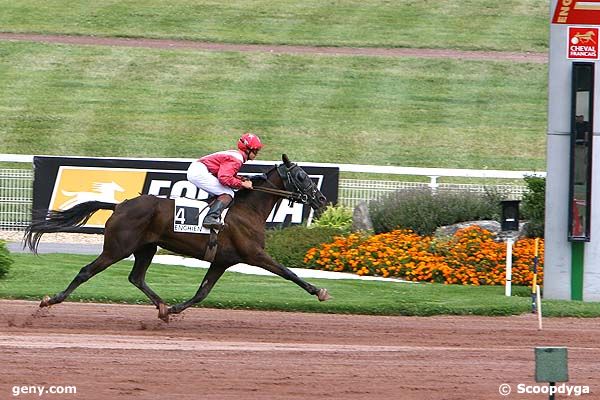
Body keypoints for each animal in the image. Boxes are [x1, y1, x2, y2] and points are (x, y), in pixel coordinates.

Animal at [25, 154, 330, 322]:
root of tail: (120, 205)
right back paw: (50, 300)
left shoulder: (222, 261)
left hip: (146, 247)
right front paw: (319, 291)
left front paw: (173, 309)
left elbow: (202, 293)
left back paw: (161, 307)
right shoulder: (254, 254)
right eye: (301, 176)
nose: (322, 200)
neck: (248, 210)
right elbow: (288, 273)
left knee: (136, 277)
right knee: (86, 271)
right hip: (117, 248)